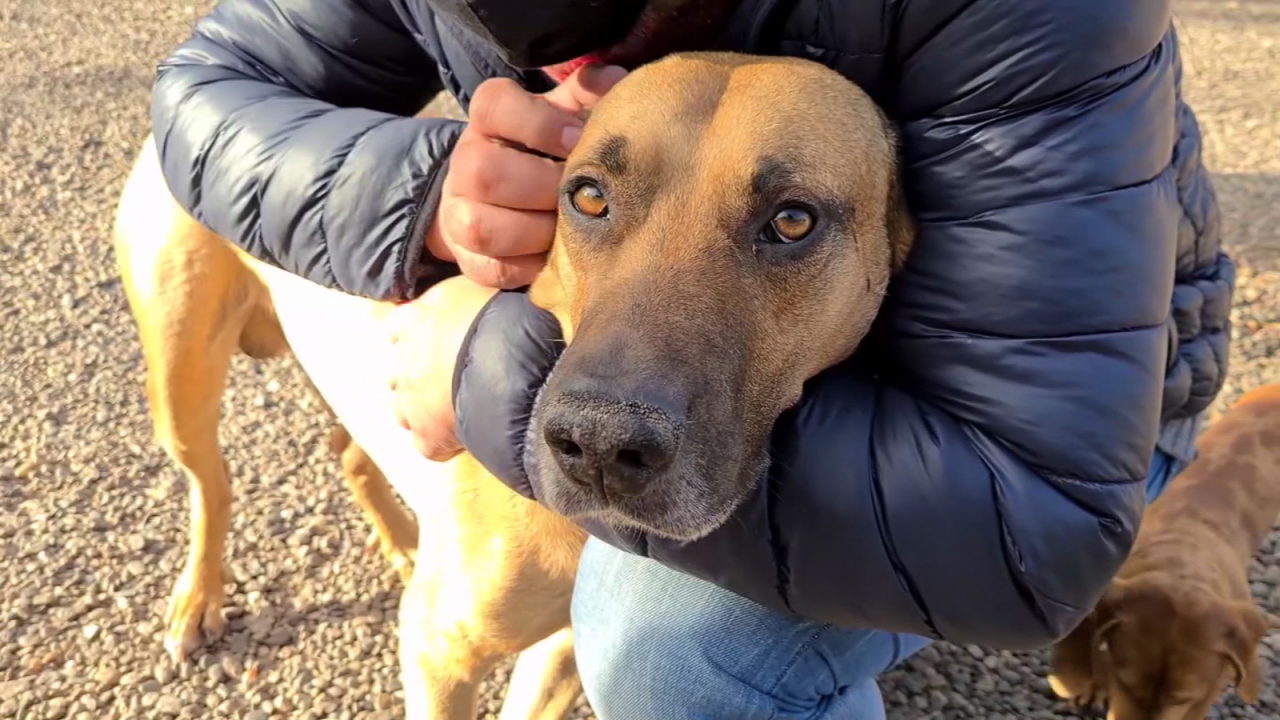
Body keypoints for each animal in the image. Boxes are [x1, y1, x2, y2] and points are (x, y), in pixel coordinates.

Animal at [110, 51, 911, 717]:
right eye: (587, 198)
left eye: (793, 220)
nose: (597, 444)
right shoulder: (436, 652)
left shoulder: (560, 652)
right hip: (181, 384)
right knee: (213, 486)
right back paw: (199, 598)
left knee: (347, 454)